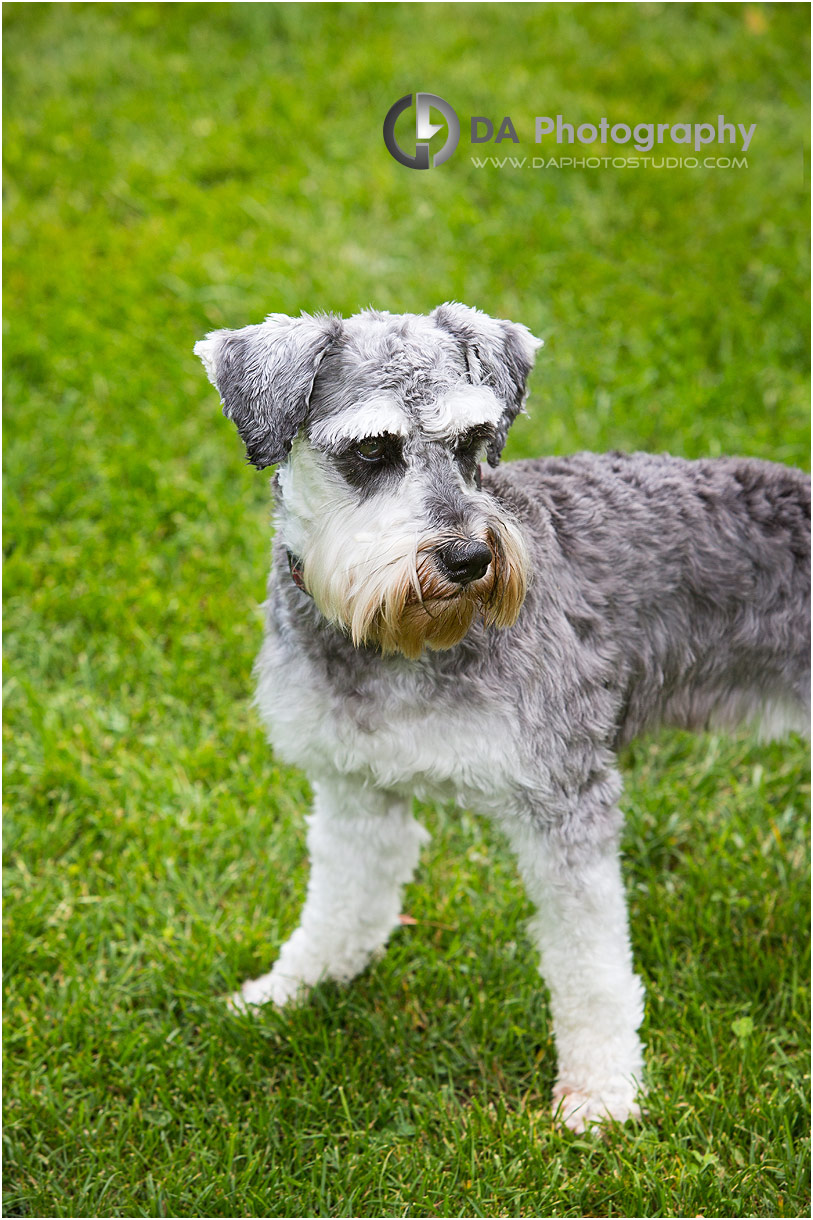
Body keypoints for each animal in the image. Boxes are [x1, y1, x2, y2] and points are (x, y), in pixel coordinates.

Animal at [192, 302, 805, 1132]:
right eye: (371, 450)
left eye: (472, 443)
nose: (467, 560)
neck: (399, 648)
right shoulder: (353, 791)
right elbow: (342, 905)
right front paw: (291, 990)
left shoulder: (564, 801)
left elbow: (590, 966)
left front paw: (601, 1094)